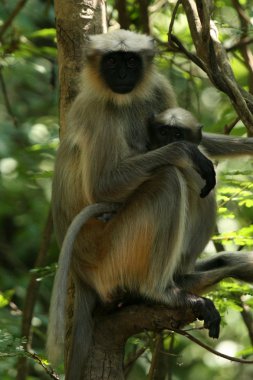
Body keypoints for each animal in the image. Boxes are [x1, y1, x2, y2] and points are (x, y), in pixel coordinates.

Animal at [47, 30, 253, 380]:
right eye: (112, 61)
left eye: (131, 61)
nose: (121, 74)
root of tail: (80, 271)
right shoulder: (98, 110)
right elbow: (104, 184)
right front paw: (185, 152)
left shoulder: (158, 88)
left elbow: (201, 145)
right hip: (111, 253)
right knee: (172, 177)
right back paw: (163, 293)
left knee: (196, 183)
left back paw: (186, 276)